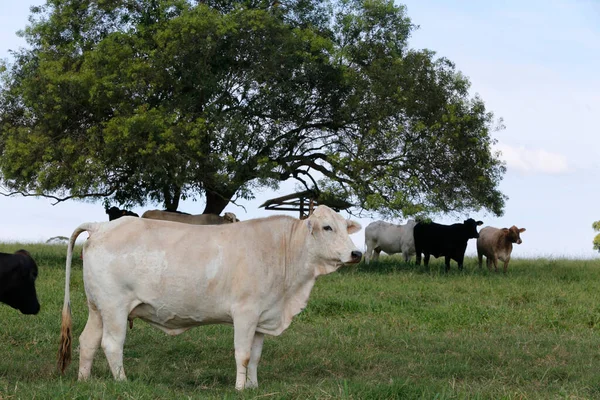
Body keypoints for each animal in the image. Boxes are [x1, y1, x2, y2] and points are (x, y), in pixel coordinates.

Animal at [58, 206, 360, 390]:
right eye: (327, 227)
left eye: (346, 227)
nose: (356, 254)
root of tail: (101, 226)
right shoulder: (245, 312)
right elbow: (243, 354)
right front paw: (240, 388)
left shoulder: (262, 316)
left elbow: (256, 356)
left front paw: (254, 386)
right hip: (115, 307)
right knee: (112, 344)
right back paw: (123, 382)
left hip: (97, 308)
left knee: (88, 341)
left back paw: (84, 381)